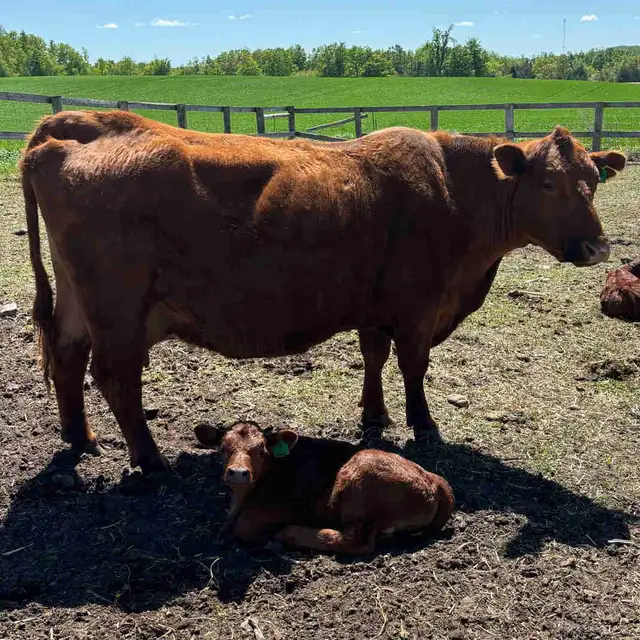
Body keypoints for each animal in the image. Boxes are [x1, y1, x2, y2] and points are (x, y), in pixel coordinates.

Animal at [20, 111, 627, 472]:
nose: (597, 247)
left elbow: (374, 356)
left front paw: (374, 418)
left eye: (593, 182)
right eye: (547, 183)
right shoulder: (418, 306)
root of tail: (79, 124)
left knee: (69, 358)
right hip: (117, 308)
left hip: (78, 301)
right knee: (115, 377)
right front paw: (425, 426)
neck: (454, 189)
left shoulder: (375, 305)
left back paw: (81, 438)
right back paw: (150, 462)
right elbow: (413, 366)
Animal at [195, 421, 454, 555]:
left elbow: (244, 526)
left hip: (360, 487)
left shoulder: (281, 507)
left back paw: (289, 534)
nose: (238, 473)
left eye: (261, 451)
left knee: (357, 542)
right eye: (223, 448)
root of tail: (433, 479)